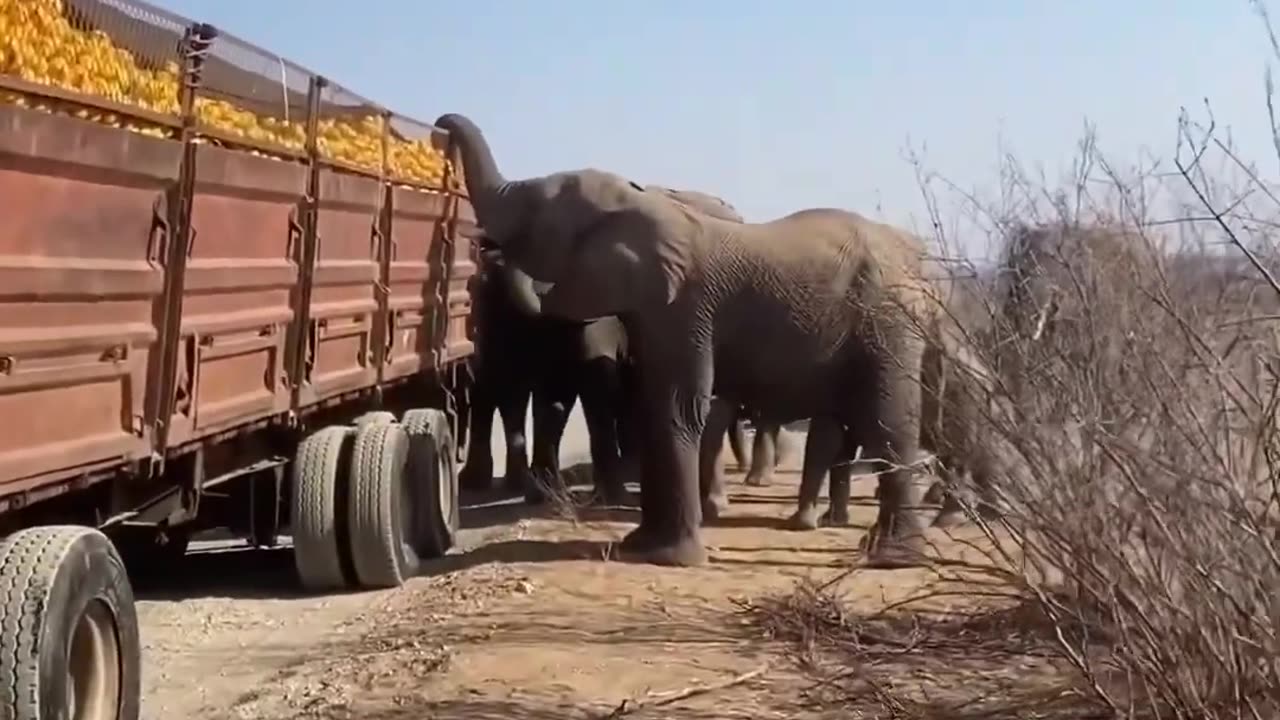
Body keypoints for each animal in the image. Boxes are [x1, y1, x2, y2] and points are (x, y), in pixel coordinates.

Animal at [437, 110, 942, 566]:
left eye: (536, 216)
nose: (443, 124)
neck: (643, 204)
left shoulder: (683, 308)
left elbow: (675, 408)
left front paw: (671, 558)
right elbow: (650, 405)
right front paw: (639, 547)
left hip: (887, 325)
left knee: (888, 422)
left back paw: (894, 557)